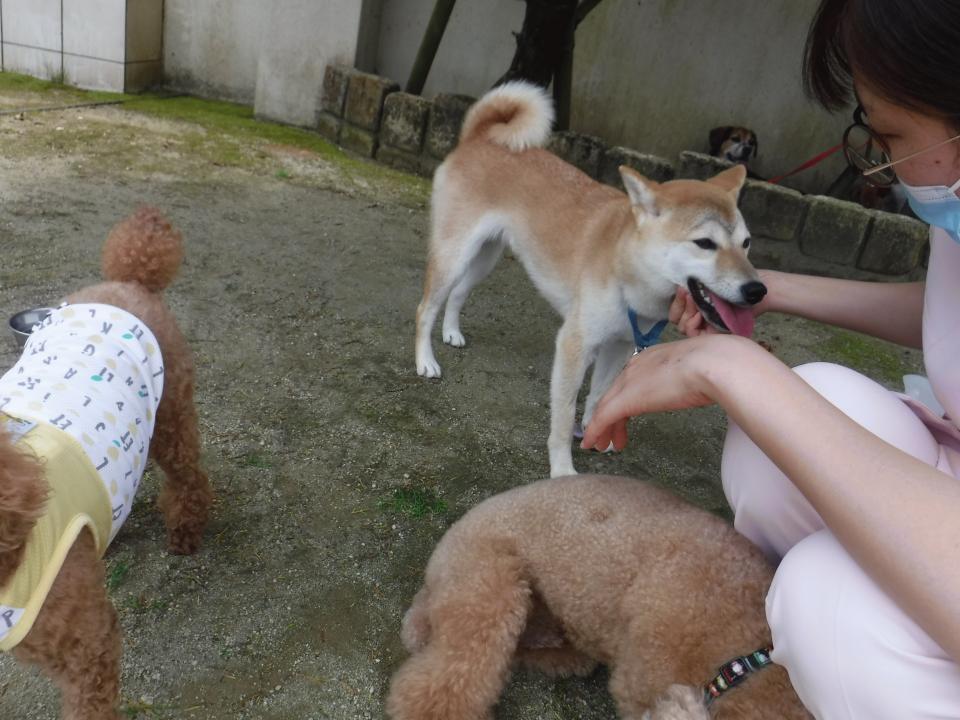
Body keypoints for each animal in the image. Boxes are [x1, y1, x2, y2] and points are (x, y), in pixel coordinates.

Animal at [415, 83, 766, 477]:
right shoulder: (575, 344)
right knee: (425, 308)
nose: (757, 290)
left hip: (484, 258)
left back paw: (451, 332)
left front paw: (596, 432)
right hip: (454, 254)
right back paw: (425, 361)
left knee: (458, 294)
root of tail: (479, 138)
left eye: (746, 243)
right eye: (705, 243)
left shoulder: (619, 346)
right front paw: (562, 470)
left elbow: (599, 397)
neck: (628, 271)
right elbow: (563, 417)